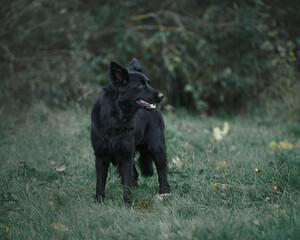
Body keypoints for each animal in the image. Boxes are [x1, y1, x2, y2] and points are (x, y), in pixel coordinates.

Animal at [90, 58, 170, 204]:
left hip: (157, 147)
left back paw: (165, 193)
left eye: (148, 83)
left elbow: (127, 182)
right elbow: (100, 183)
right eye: (140, 85)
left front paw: (128, 204)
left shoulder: (125, 156)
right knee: (136, 174)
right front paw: (99, 202)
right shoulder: (101, 156)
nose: (161, 96)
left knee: (162, 171)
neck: (115, 119)